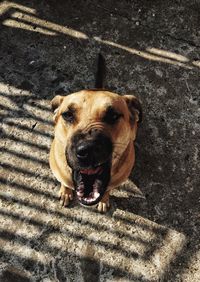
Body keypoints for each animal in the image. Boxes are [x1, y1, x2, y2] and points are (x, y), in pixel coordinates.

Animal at [49, 54, 141, 212]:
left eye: (113, 115)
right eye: (67, 114)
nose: (88, 149)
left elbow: (108, 189)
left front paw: (104, 200)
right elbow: (65, 183)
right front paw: (65, 192)